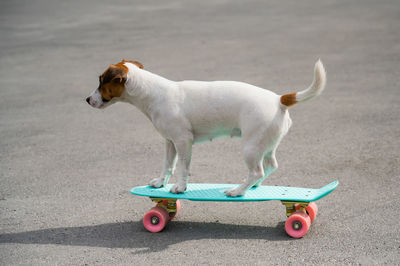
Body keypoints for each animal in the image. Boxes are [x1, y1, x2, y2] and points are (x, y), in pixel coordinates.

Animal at [86, 59, 326, 196]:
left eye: (101, 81)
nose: (87, 100)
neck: (154, 92)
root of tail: (279, 99)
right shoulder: (170, 142)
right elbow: (168, 165)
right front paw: (160, 182)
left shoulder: (183, 141)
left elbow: (182, 167)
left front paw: (179, 187)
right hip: (265, 145)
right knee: (270, 165)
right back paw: (251, 187)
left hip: (250, 147)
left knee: (256, 170)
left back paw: (238, 191)